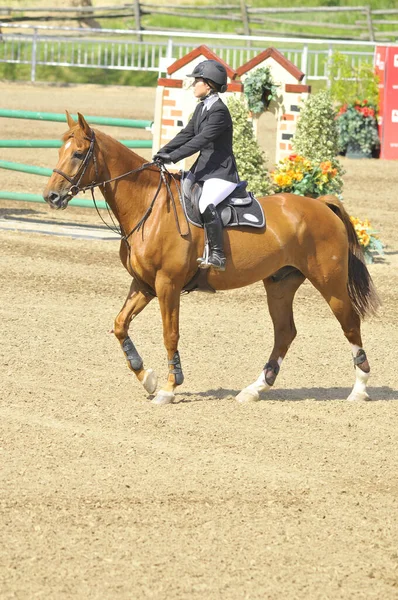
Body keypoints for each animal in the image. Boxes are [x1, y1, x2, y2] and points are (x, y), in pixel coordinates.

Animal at [42, 112, 380, 404]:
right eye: (60, 150)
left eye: (78, 154)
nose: (51, 197)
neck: (149, 207)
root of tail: (321, 205)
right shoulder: (144, 284)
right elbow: (120, 325)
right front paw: (147, 377)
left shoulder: (167, 284)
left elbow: (170, 334)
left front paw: (168, 389)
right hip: (280, 284)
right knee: (285, 332)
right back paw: (254, 389)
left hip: (329, 282)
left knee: (349, 322)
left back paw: (360, 390)